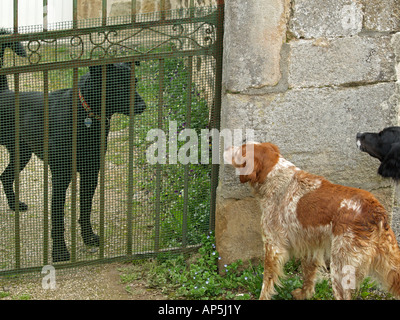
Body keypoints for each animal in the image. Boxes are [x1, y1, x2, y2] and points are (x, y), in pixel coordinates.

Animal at [0, 32, 147, 262]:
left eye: (135, 81)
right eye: (118, 85)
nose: (143, 106)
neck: (87, 116)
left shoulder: (91, 172)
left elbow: (85, 209)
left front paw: (88, 237)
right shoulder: (61, 175)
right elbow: (57, 216)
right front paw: (60, 251)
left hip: (22, 153)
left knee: (5, 176)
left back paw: (15, 205)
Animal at [223, 142, 400, 300]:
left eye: (239, 150)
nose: (225, 147)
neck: (275, 177)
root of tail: (375, 210)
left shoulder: (273, 246)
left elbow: (266, 283)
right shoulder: (311, 245)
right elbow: (308, 276)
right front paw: (304, 294)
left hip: (339, 268)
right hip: (390, 262)